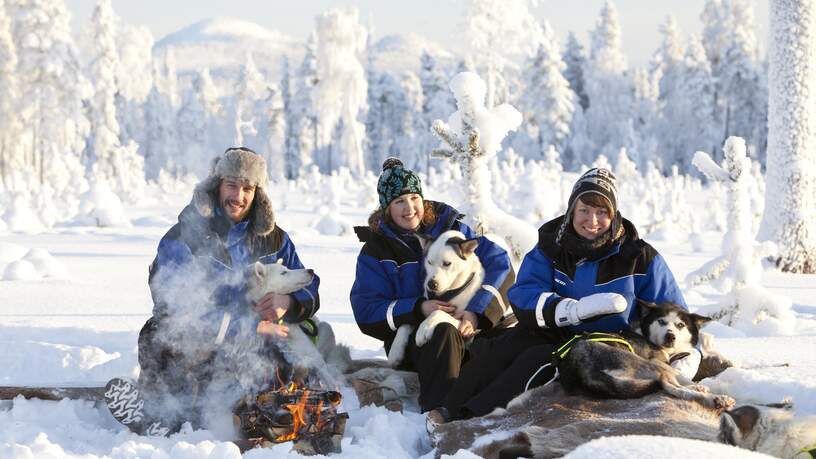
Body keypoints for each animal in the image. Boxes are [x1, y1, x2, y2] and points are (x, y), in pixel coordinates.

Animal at [387, 230, 485, 366]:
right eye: (429, 262)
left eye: (447, 263)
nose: (431, 284)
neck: (448, 293)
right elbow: (405, 324)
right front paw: (395, 351)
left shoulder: (467, 328)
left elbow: (438, 312)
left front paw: (424, 328)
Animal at [556, 300, 735, 409]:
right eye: (661, 321)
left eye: (680, 325)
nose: (670, 336)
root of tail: (581, 371)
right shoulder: (656, 361)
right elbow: (678, 376)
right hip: (645, 364)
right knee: (670, 387)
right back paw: (716, 398)